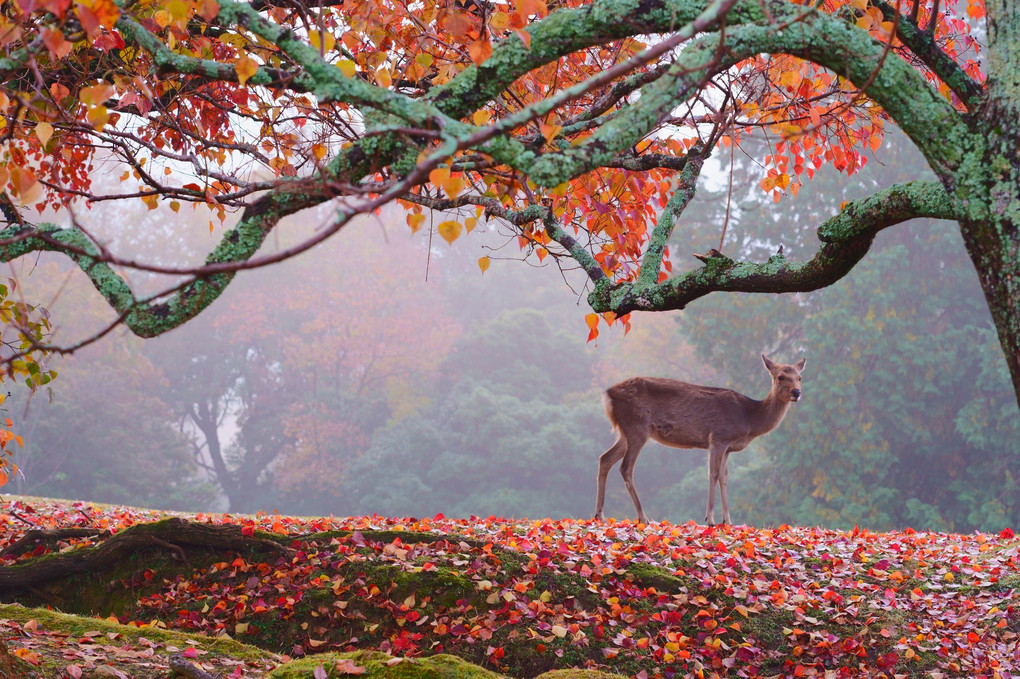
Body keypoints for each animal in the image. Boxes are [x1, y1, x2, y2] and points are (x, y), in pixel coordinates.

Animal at [595, 354, 803, 521]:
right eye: (780, 376)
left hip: (625, 432)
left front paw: (728, 520)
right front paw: (710, 518)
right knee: (625, 467)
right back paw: (643, 517)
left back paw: (600, 515)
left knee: (605, 458)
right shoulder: (719, 437)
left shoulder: (728, 447)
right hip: (637, 426)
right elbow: (713, 474)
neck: (749, 418)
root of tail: (607, 395)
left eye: (800, 377)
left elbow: (724, 477)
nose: (797, 392)